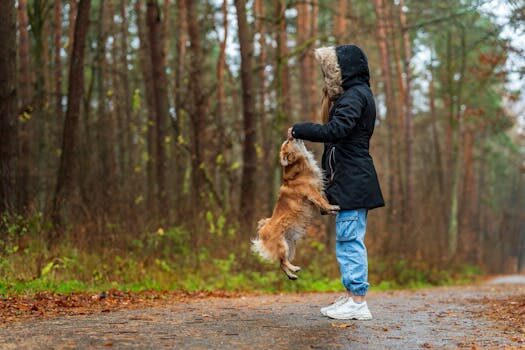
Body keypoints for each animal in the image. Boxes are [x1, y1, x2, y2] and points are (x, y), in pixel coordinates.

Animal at [251, 139, 340, 278]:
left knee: (281, 263)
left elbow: (322, 202)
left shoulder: (317, 191)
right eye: (287, 142)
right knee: (283, 261)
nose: (291, 136)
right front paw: (332, 207)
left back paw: (291, 275)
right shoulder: (312, 192)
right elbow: (322, 201)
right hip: (282, 245)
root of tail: (262, 230)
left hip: (290, 246)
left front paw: (329, 210)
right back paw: (294, 269)